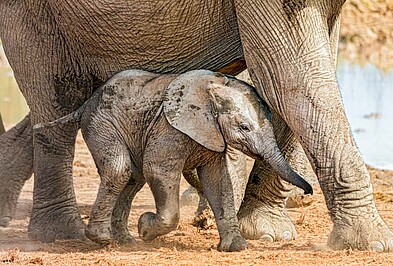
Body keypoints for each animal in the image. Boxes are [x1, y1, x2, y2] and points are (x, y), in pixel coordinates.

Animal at [35, 68, 310, 251]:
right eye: (244, 127)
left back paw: (124, 241)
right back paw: (104, 239)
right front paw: (145, 228)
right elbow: (158, 170)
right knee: (119, 170)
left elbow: (219, 182)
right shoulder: (169, 128)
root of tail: (85, 104)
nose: (308, 192)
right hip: (102, 124)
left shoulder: (212, 135)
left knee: (132, 178)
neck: (215, 88)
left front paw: (236, 248)